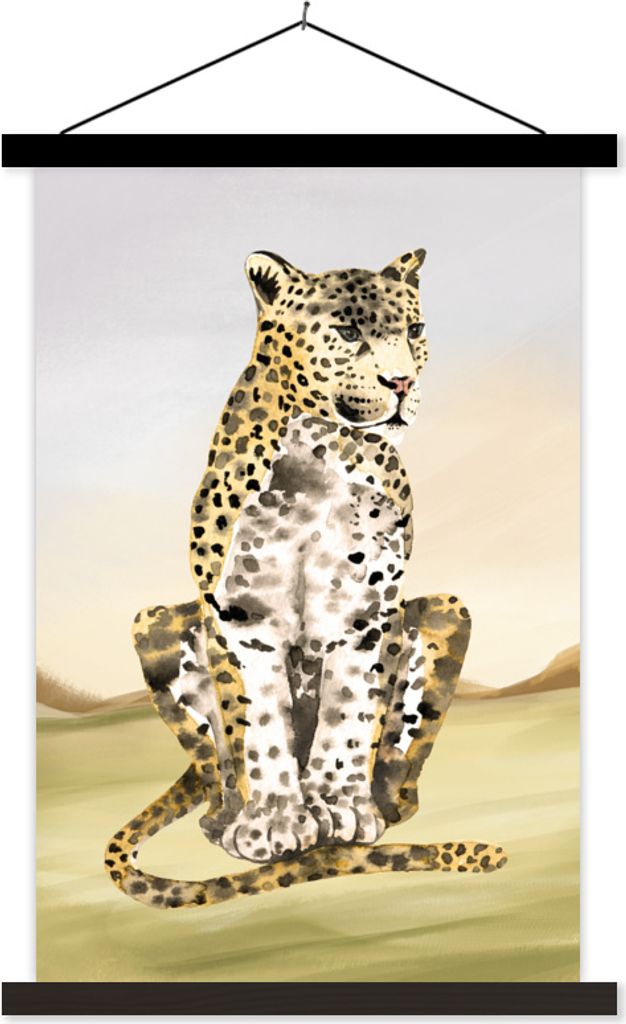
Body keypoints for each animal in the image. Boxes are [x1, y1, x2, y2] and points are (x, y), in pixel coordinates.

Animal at [104, 248, 507, 909]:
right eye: (347, 332)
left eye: (415, 331)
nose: (402, 384)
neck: (324, 453)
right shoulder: (239, 616)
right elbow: (259, 725)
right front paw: (273, 823)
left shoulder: (368, 611)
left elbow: (350, 713)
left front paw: (339, 809)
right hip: (153, 625)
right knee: (214, 784)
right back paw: (233, 822)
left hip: (448, 610)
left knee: (401, 787)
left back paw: (371, 816)